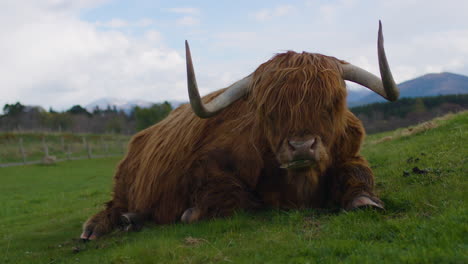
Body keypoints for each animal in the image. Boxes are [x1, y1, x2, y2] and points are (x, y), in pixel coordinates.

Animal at [79, 21, 398, 239]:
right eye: (267, 111)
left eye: (332, 103)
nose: (301, 147)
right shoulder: (206, 167)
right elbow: (237, 199)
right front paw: (194, 211)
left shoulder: (350, 153)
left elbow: (358, 173)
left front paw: (365, 200)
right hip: (123, 182)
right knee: (113, 205)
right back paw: (101, 226)